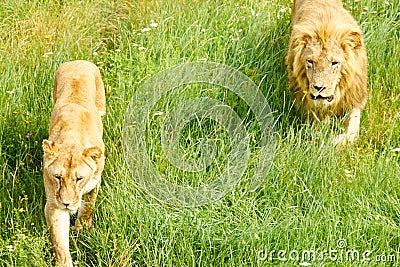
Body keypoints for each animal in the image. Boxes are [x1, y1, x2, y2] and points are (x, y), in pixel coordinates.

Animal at [42, 60, 105, 267]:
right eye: (57, 177)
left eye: (79, 179)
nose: (67, 204)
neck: (73, 136)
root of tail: (79, 61)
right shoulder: (54, 203)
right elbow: (60, 243)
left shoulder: (94, 182)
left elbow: (88, 206)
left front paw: (82, 229)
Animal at [286, 0, 368, 144]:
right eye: (310, 61)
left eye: (334, 63)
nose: (319, 88)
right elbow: (319, 127)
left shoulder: (353, 99)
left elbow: (352, 130)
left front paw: (337, 141)